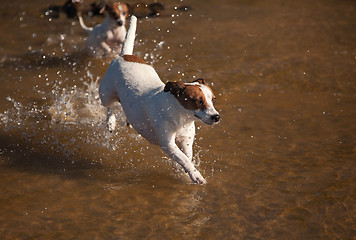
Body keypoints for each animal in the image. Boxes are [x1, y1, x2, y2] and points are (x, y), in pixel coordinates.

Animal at [98, 15, 220, 184]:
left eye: (213, 99)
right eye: (198, 101)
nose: (217, 117)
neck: (180, 116)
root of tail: (124, 56)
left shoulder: (186, 140)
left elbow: (187, 157)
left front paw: (183, 170)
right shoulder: (167, 144)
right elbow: (184, 159)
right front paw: (195, 175)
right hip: (106, 94)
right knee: (110, 107)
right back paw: (111, 122)